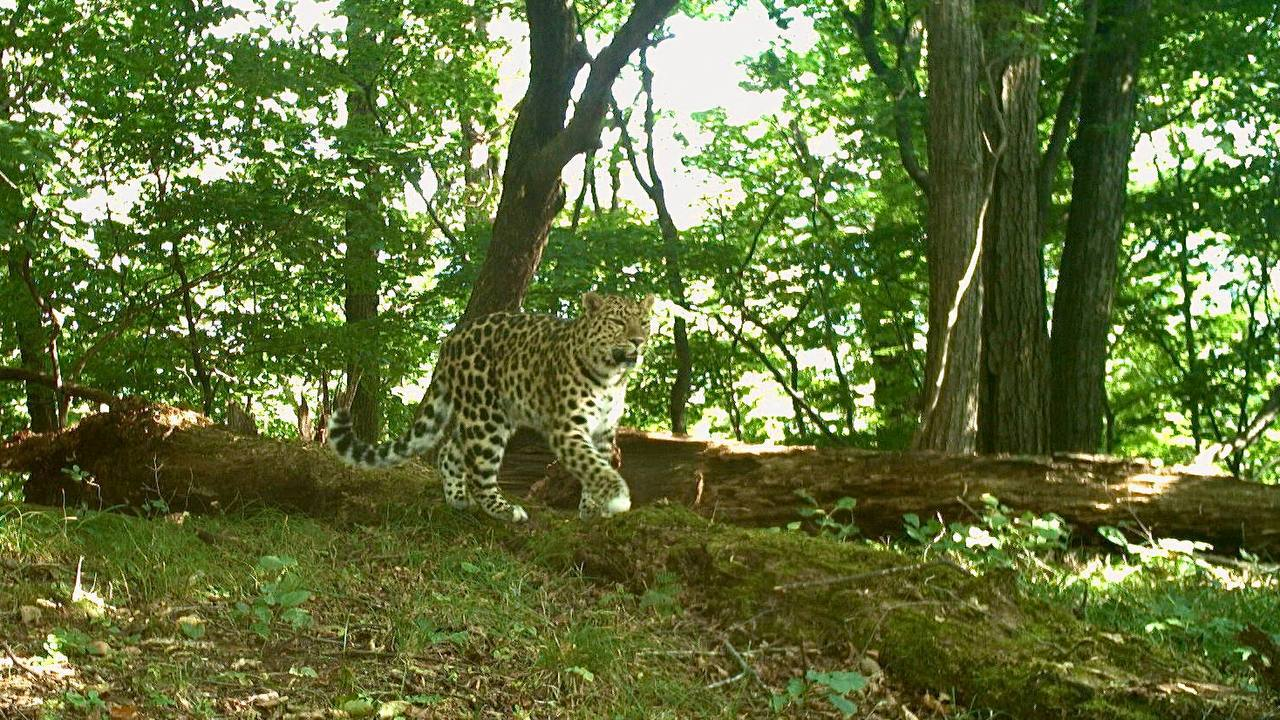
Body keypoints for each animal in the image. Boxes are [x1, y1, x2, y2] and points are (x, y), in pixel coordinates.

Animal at [325, 292, 655, 520]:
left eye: (645, 323)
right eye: (618, 322)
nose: (638, 341)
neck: (611, 377)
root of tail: (450, 341)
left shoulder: (604, 432)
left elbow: (598, 466)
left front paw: (593, 509)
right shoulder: (568, 428)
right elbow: (592, 465)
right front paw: (618, 497)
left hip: (490, 411)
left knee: (450, 451)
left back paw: (458, 498)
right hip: (486, 416)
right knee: (479, 471)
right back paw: (505, 510)